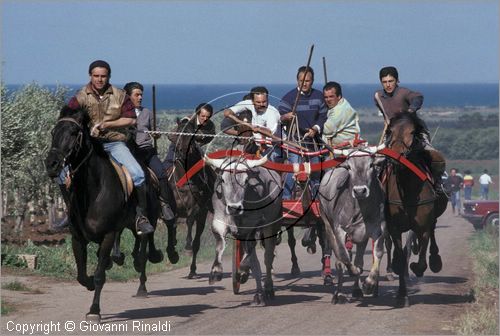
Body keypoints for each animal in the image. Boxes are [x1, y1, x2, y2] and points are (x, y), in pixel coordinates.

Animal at [382, 111, 450, 306]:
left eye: (413, 132)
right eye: (390, 131)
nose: (396, 156)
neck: (407, 189)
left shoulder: (422, 225)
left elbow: (420, 261)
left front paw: (417, 266)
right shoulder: (394, 227)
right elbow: (399, 256)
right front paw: (401, 294)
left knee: (432, 234)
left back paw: (435, 260)